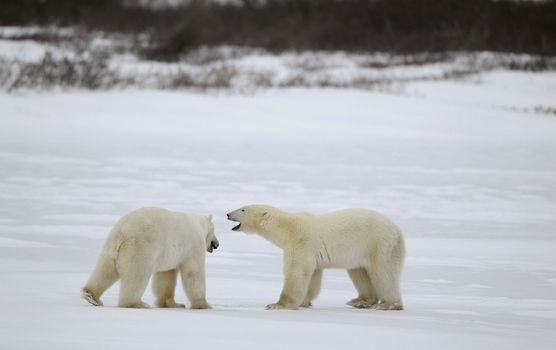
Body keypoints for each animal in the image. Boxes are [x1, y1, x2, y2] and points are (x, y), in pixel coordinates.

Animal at [81, 208, 218, 308]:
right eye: (214, 230)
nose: (217, 244)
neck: (198, 224)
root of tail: (121, 234)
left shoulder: (168, 253)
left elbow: (166, 276)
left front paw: (173, 304)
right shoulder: (193, 246)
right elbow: (193, 273)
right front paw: (204, 305)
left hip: (109, 248)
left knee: (105, 270)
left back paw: (91, 296)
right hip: (140, 248)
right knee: (136, 276)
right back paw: (137, 303)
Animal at [226, 205, 404, 308]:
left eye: (243, 209)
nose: (227, 214)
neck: (288, 228)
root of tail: (398, 230)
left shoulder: (300, 243)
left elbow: (296, 272)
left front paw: (278, 304)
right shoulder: (310, 252)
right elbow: (313, 276)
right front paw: (305, 302)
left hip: (379, 244)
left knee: (384, 273)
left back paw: (387, 304)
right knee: (359, 272)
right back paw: (360, 301)